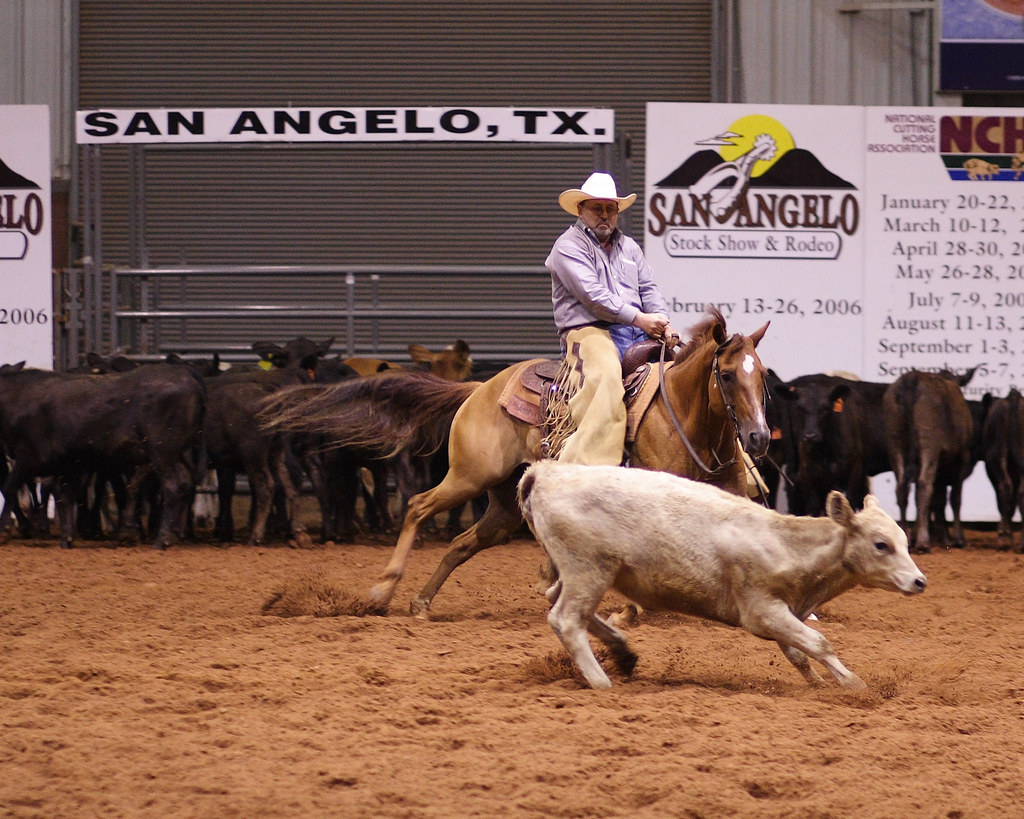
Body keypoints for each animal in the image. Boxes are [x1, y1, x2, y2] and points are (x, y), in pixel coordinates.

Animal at [260, 309, 771, 615]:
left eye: (762, 374)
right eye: (727, 375)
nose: (759, 437)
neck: (684, 418)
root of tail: (478, 388)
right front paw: (631, 609)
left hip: (503, 505)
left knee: (462, 542)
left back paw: (423, 602)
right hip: (468, 476)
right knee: (418, 506)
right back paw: (384, 590)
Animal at [517, 461, 926, 690]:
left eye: (904, 541)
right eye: (881, 544)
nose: (919, 581)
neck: (787, 544)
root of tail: (546, 472)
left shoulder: (786, 612)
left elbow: (799, 653)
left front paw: (822, 684)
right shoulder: (761, 611)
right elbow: (819, 643)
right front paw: (854, 684)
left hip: (581, 571)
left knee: (557, 600)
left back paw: (623, 653)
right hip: (588, 568)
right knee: (566, 619)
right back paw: (601, 681)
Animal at [883, 369, 974, 552]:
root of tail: (912, 378)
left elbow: (938, 500)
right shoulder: (962, 458)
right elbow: (954, 498)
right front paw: (958, 538)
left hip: (895, 442)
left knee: (902, 488)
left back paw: (907, 536)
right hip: (929, 443)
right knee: (924, 484)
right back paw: (923, 541)